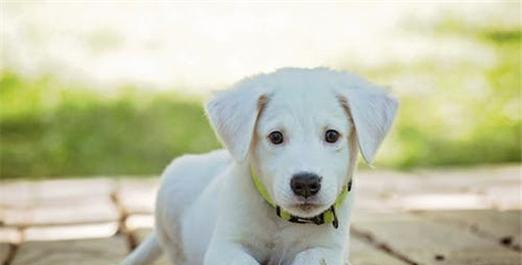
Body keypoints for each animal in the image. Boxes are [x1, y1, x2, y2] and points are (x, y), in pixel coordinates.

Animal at [122, 67, 396, 264]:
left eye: (332, 135)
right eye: (275, 137)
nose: (305, 183)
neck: (284, 221)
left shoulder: (330, 249)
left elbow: (311, 257)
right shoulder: (225, 246)